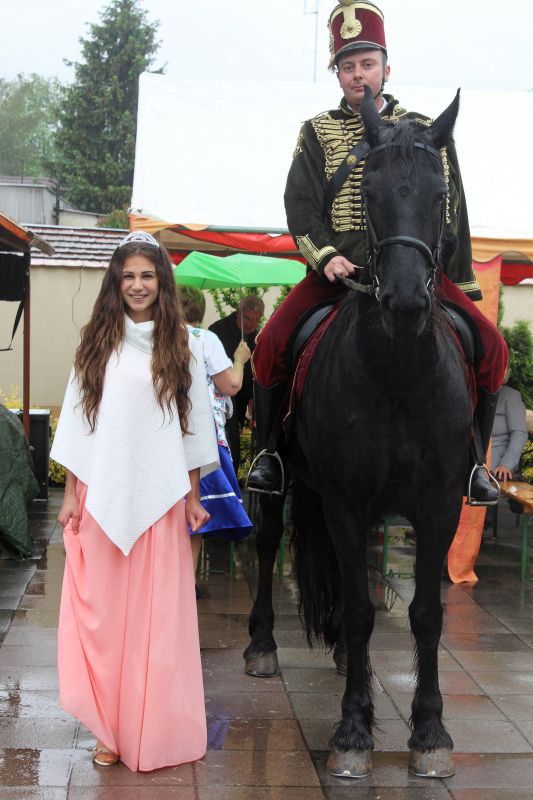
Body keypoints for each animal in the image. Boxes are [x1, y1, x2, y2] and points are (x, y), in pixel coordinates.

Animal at [243, 87, 472, 779]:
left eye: (439, 192)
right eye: (368, 190)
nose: (405, 302)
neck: (396, 371)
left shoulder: (439, 503)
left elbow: (424, 614)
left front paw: (430, 731)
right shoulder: (344, 501)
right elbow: (361, 605)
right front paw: (352, 729)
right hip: (281, 481)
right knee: (267, 543)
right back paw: (262, 644)